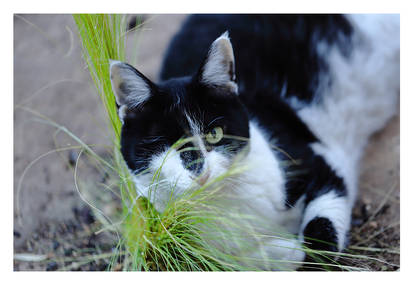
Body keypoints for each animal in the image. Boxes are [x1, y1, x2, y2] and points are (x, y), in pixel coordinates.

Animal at [109, 15, 400, 268]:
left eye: (215, 133)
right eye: (164, 144)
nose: (200, 171)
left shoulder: (312, 159)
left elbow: (320, 236)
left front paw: (307, 249)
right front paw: (284, 251)